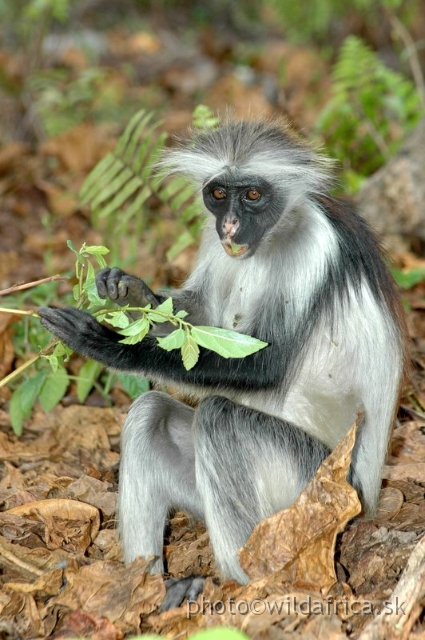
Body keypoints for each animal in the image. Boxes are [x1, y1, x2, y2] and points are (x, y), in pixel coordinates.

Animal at [39, 120, 404, 604]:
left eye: (252, 195)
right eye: (218, 194)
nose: (229, 223)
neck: (274, 235)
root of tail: (369, 501)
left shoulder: (314, 246)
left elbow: (265, 367)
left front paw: (113, 346)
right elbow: (201, 317)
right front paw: (130, 292)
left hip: (318, 489)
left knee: (220, 417)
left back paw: (251, 580)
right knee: (150, 413)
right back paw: (149, 588)